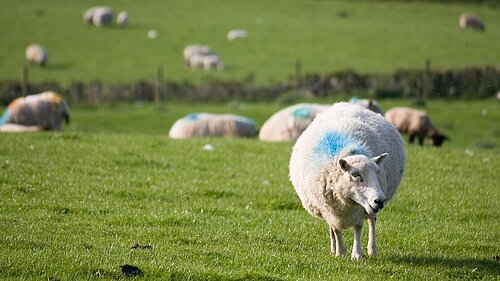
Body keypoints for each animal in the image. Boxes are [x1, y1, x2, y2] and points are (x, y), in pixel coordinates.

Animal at [290, 101, 406, 260]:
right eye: (355, 174)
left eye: (377, 172)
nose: (379, 200)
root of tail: (345, 103)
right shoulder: (330, 209)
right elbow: (336, 229)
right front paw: (340, 252)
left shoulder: (360, 209)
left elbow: (358, 228)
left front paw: (356, 254)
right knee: (332, 228)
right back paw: (333, 248)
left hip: (370, 209)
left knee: (372, 222)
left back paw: (372, 249)